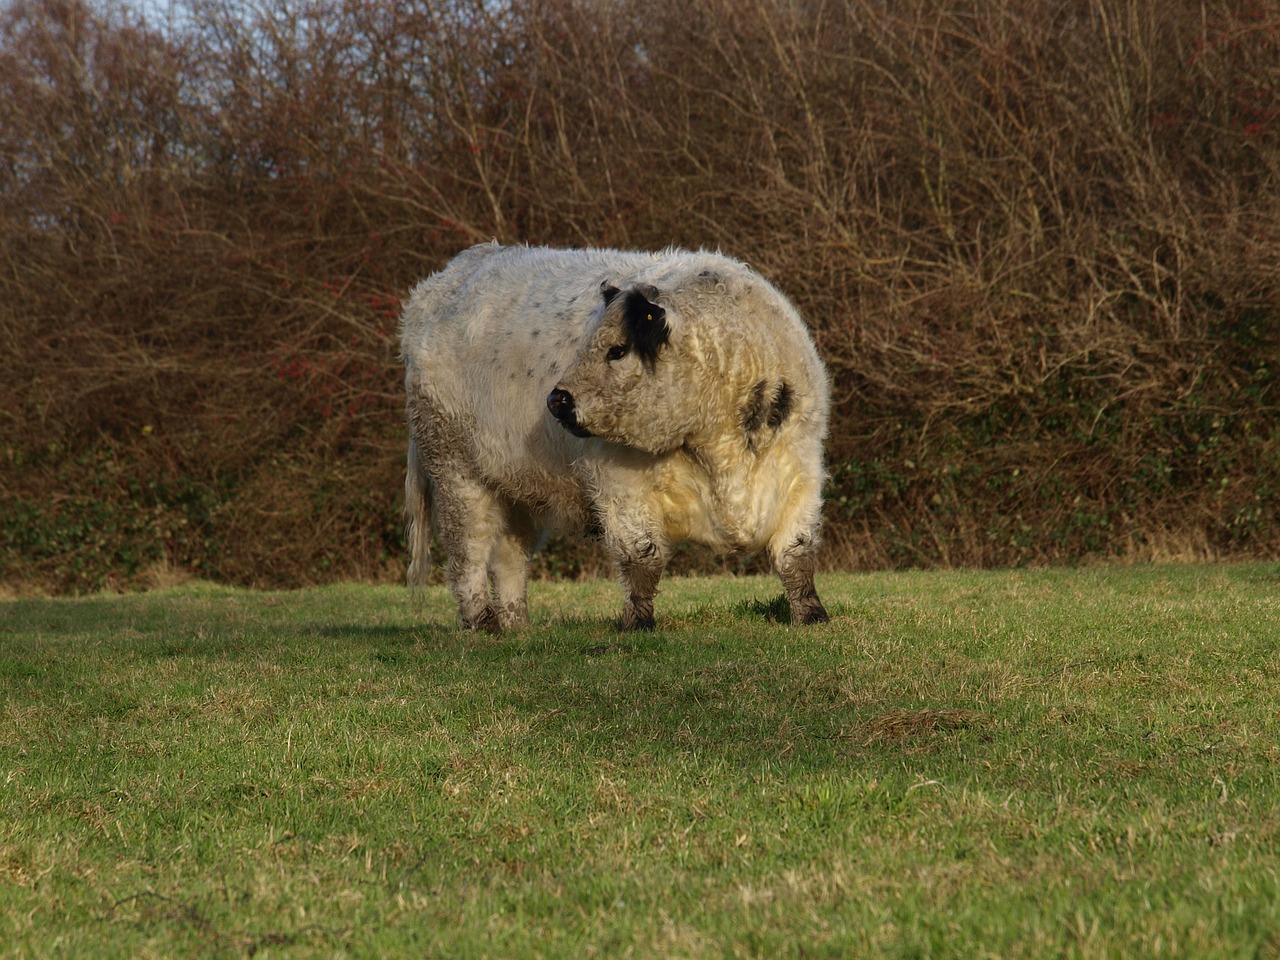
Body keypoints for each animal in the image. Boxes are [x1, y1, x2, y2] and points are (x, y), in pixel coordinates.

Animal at [404, 241, 834, 632]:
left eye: (618, 350)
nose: (556, 400)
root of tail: (445, 279)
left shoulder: (800, 471)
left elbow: (797, 553)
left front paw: (812, 615)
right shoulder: (621, 484)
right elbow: (642, 556)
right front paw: (637, 623)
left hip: (515, 484)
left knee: (510, 556)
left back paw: (517, 625)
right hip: (455, 470)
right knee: (469, 550)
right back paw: (483, 622)